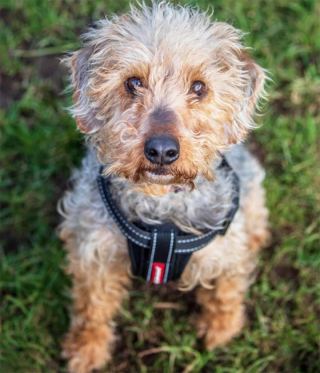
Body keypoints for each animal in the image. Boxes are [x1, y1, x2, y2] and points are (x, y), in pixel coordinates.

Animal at [58, 1, 268, 370]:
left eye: (199, 87)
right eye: (133, 82)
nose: (161, 150)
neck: (161, 209)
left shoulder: (225, 251)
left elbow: (226, 292)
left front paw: (221, 329)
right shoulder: (94, 253)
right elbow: (91, 307)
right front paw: (87, 348)